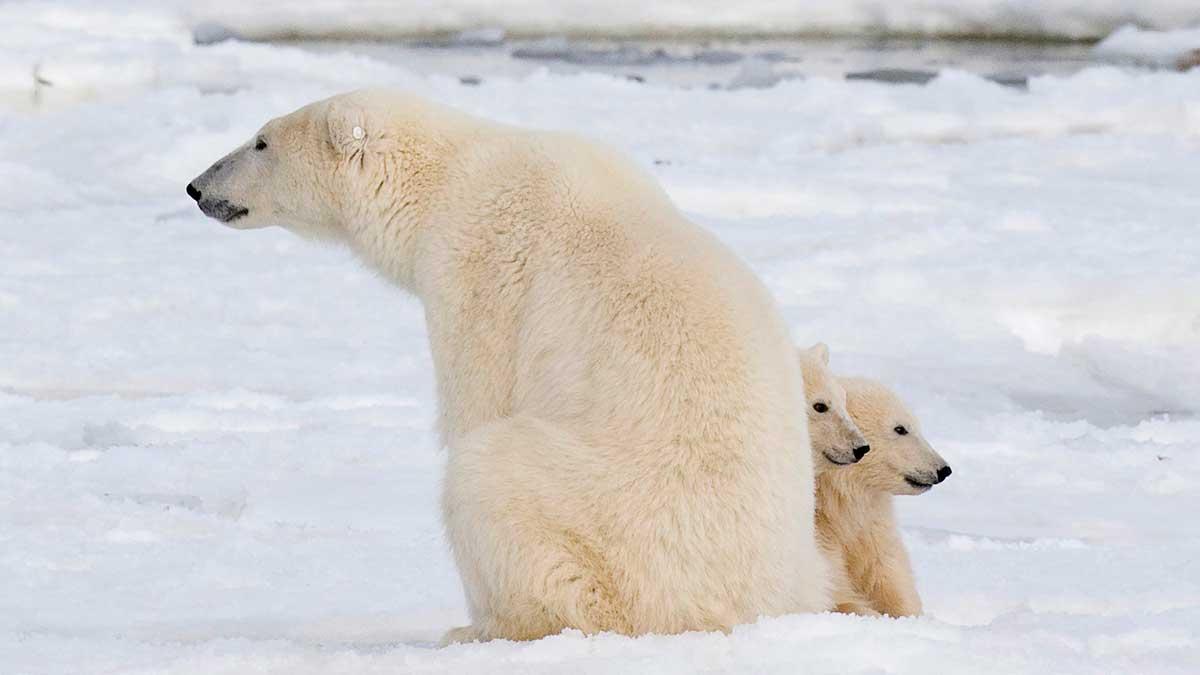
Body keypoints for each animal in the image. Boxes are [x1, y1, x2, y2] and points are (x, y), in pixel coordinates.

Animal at [189, 90, 825, 638]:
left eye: (261, 141)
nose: (196, 186)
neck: (447, 178)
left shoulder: (482, 269)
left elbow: (478, 402)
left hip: (617, 519)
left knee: (489, 478)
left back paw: (487, 627)